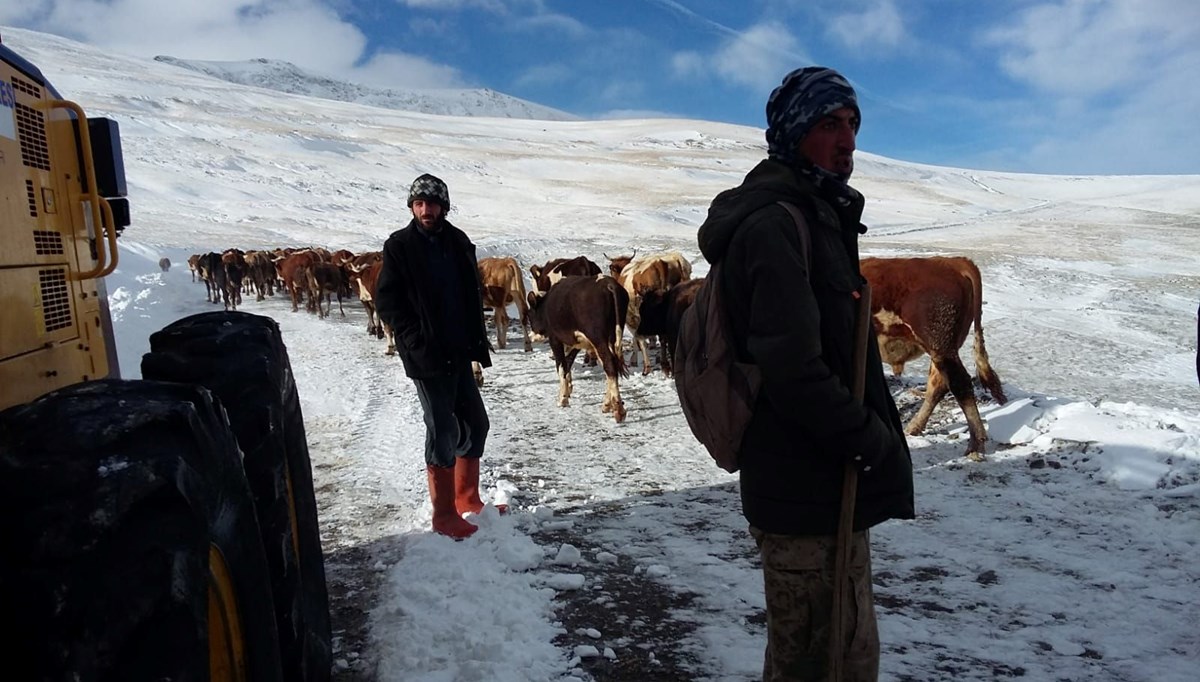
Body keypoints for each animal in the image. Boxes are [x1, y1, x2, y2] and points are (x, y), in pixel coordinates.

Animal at [530, 276, 633, 422]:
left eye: (529, 316)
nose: (530, 336)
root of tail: (608, 283)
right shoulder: (577, 342)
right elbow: (568, 363)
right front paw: (567, 391)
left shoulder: (555, 339)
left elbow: (561, 366)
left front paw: (562, 399)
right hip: (611, 338)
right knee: (612, 364)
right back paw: (607, 404)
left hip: (598, 338)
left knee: (609, 365)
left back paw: (618, 410)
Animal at [859, 256, 1008, 463]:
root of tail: (950, 261)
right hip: (941, 350)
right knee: (938, 385)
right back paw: (914, 427)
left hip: (940, 344)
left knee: (960, 384)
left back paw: (976, 445)